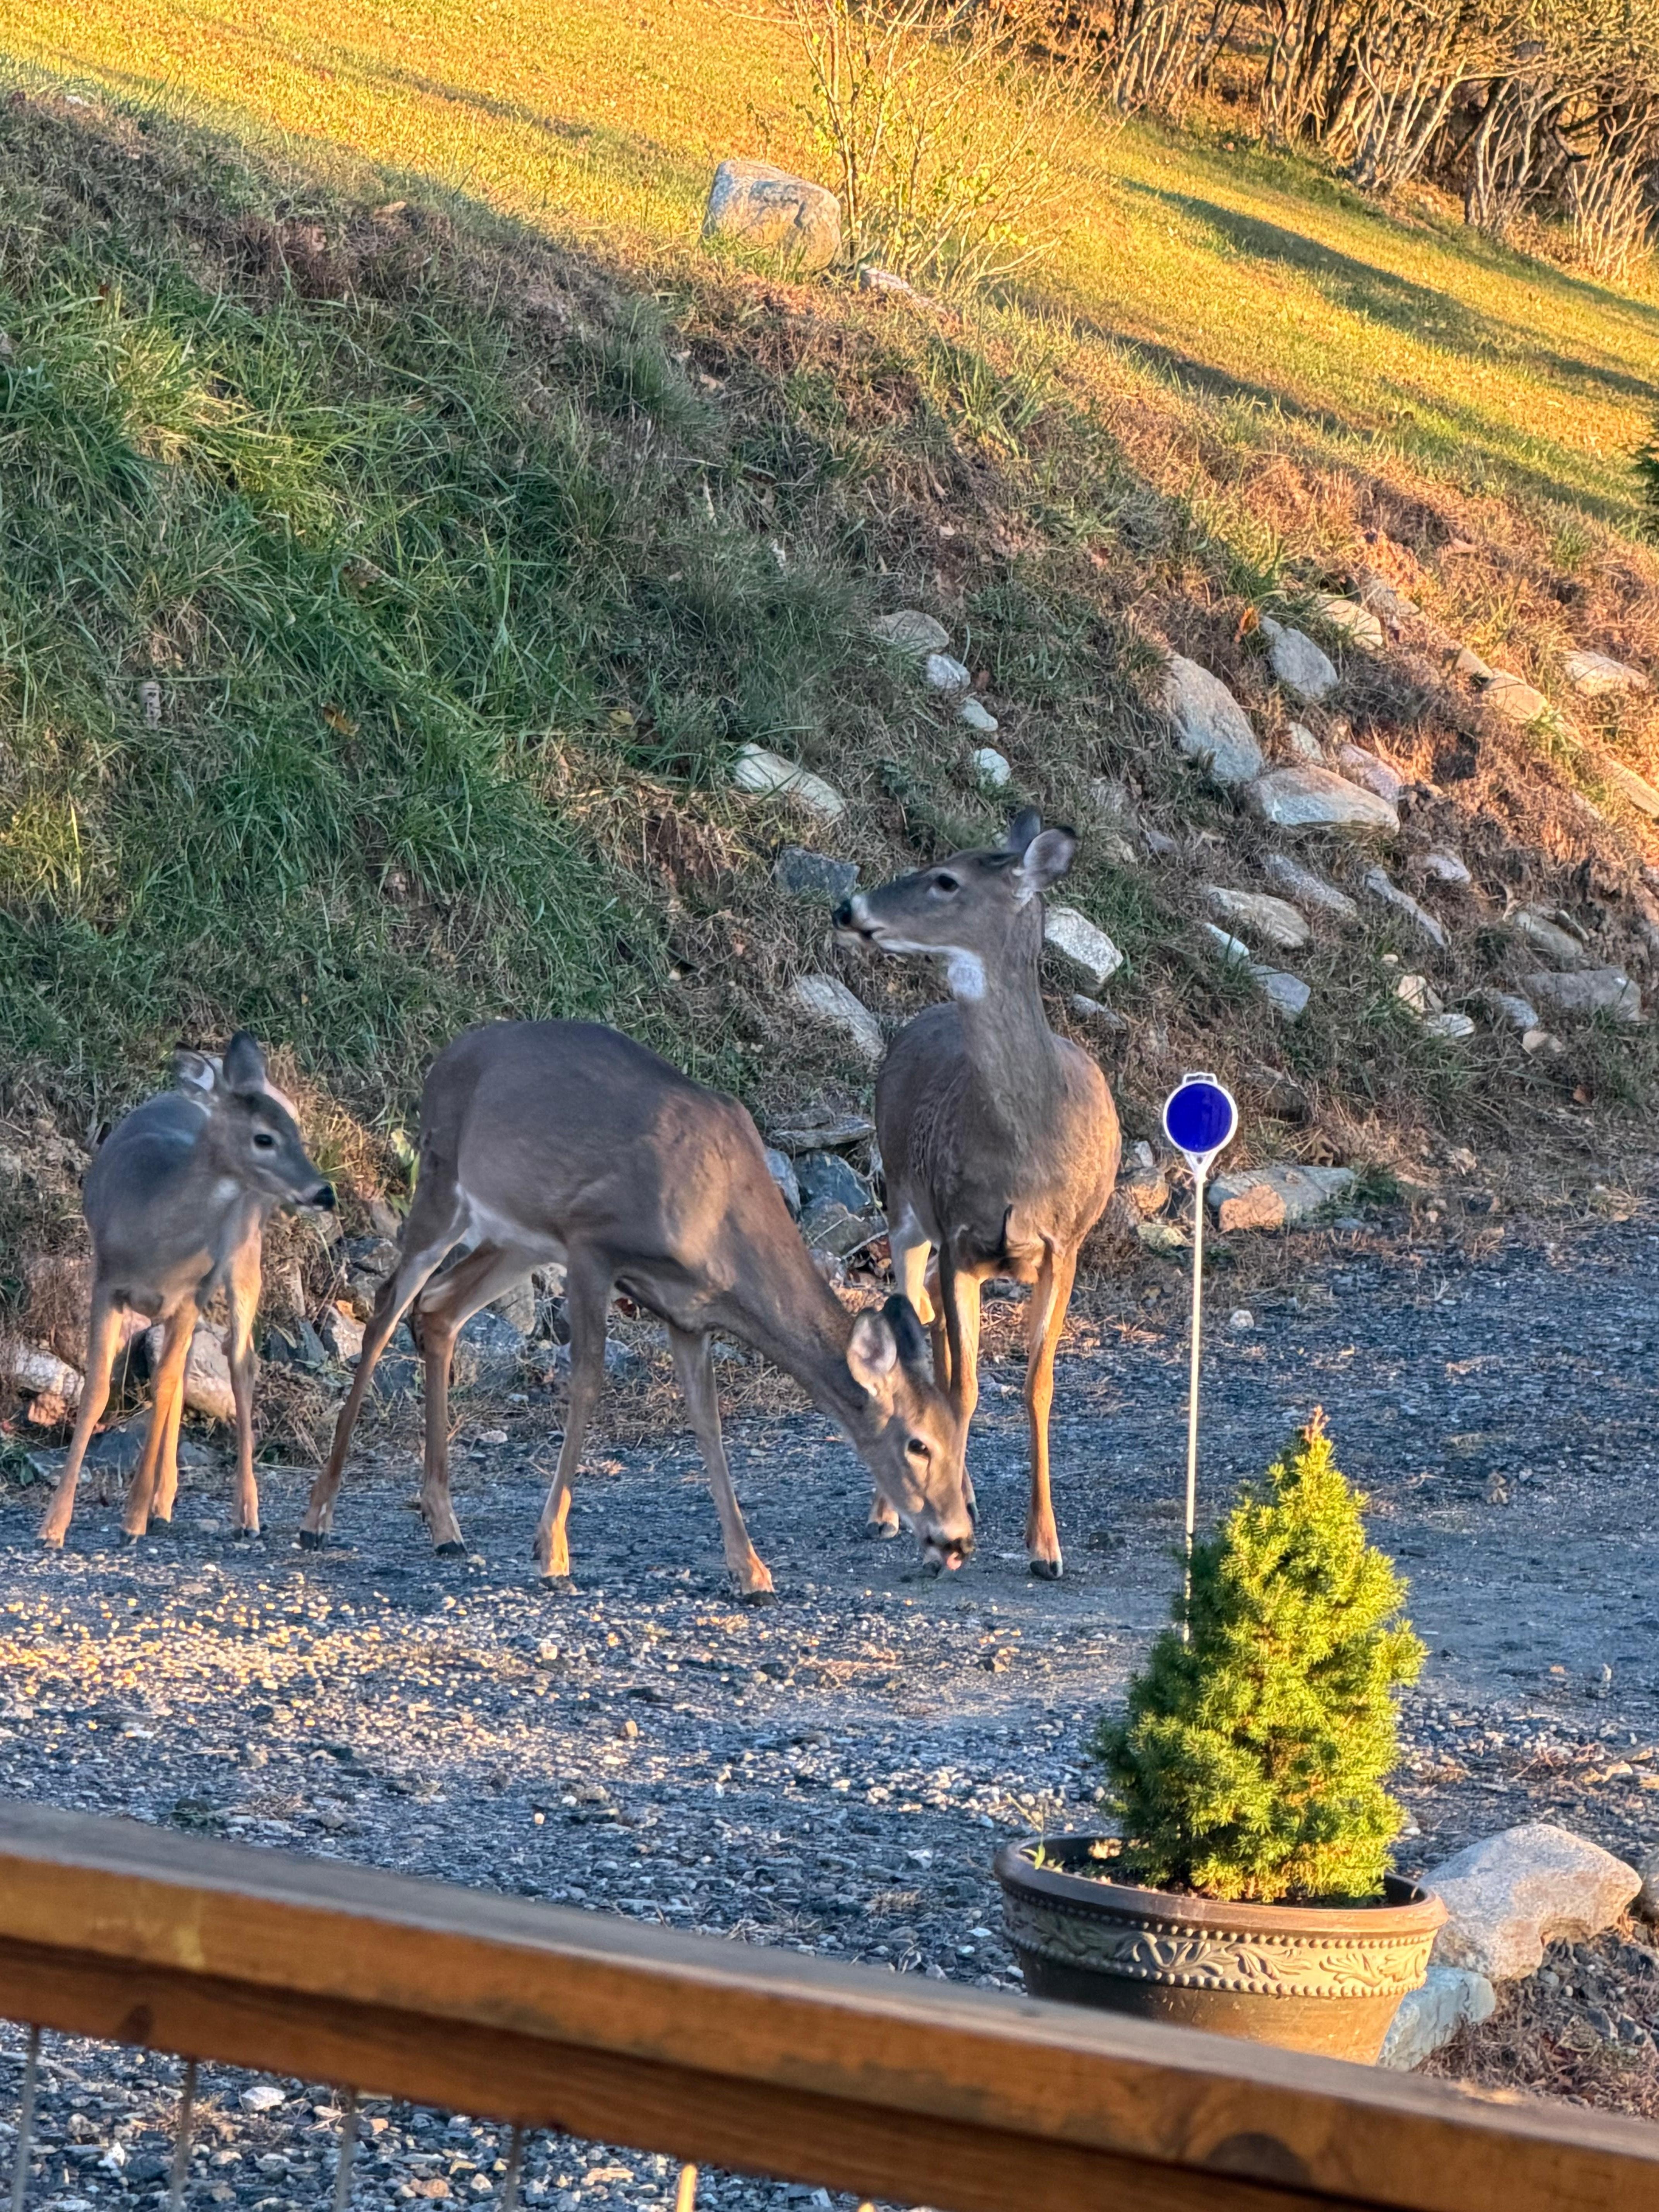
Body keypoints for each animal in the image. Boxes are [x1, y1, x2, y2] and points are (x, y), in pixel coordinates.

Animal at [38, 1033, 335, 1550]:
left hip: (244, 1253)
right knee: (187, 1366)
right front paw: (54, 1526)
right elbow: (98, 1390)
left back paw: (244, 1514)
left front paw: (132, 1520)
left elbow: (163, 1385)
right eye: (264, 1138)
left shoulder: (189, 1293)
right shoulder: (107, 1283)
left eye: (296, 1133)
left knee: (241, 1361)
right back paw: (165, 1503)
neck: (154, 1229)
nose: (324, 1192)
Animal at [297, 1020, 974, 1594]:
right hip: (443, 1185)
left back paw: (445, 1527)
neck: (720, 1216)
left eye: (956, 1435)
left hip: (516, 1238)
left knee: (439, 1310)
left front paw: (750, 1570)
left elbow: (708, 1421)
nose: (958, 1539)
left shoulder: (688, 1312)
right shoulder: (592, 1246)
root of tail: (446, 1057)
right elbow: (587, 1385)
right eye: (918, 1444)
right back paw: (318, 1516)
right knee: (388, 1305)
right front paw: (552, 1551)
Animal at [834, 810, 1120, 1578]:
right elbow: (961, 1388)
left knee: (930, 1325)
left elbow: (1036, 1384)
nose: (847, 907)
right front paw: (948, 1531)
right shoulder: (961, 1235)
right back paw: (887, 1513)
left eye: (945, 881)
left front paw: (1045, 1546)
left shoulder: (1064, 1245)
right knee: (914, 1324)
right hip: (903, 1205)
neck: (1026, 1146)